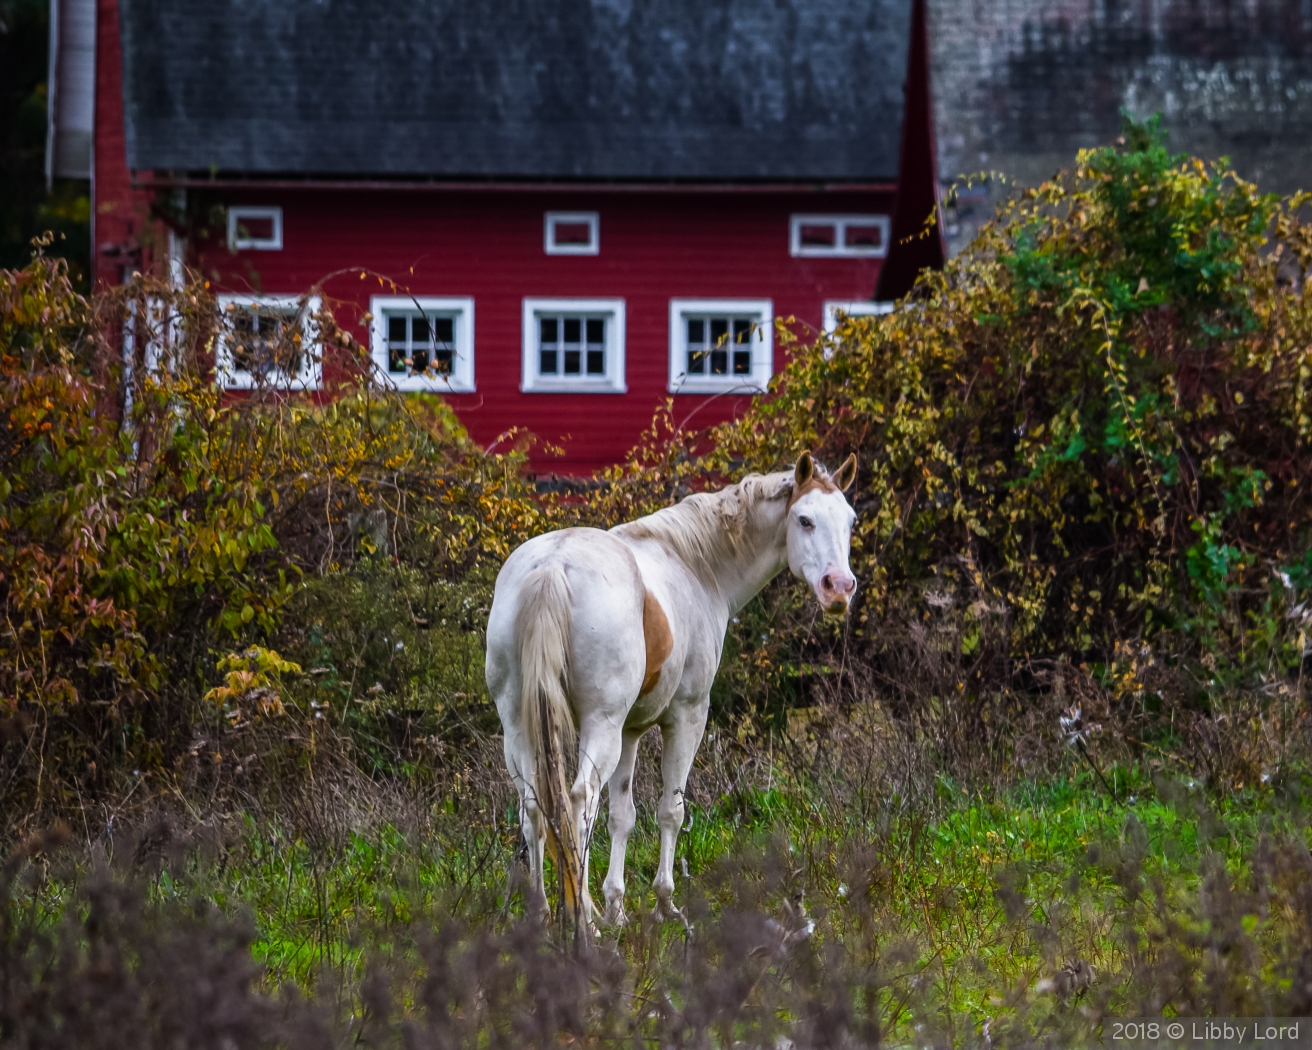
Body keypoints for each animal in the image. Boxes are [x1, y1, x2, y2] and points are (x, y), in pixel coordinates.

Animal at [488, 446, 855, 924]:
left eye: (850, 521)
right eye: (805, 520)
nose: (840, 589)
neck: (695, 564)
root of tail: (552, 567)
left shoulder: (629, 732)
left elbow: (622, 815)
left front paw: (617, 907)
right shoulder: (686, 716)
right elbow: (670, 811)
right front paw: (665, 904)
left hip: (520, 724)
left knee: (533, 808)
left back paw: (542, 914)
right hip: (599, 726)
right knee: (580, 802)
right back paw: (583, 918)